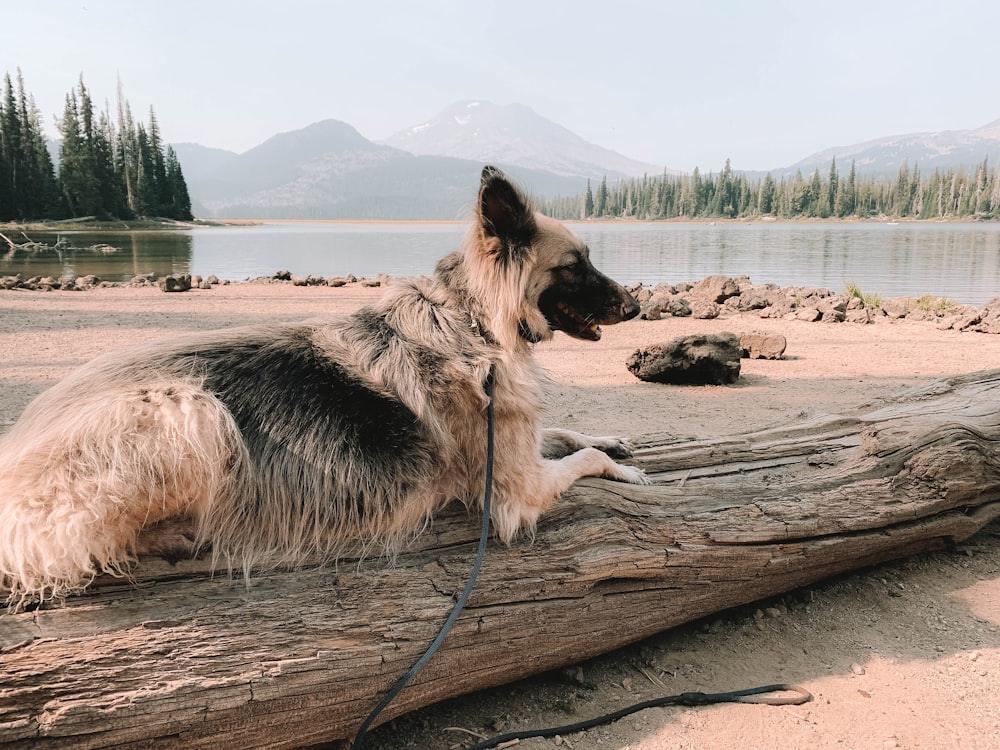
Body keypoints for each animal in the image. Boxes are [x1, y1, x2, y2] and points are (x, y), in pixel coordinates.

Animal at [0, 167, 644, 608]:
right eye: (576, 266)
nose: (637, 307)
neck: (474, 320)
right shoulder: (517, 490)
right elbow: (581, 459)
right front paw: (621, 469)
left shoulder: (523, 445)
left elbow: (567, 432)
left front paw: (613, 439)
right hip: (193, 409)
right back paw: (180, 534)